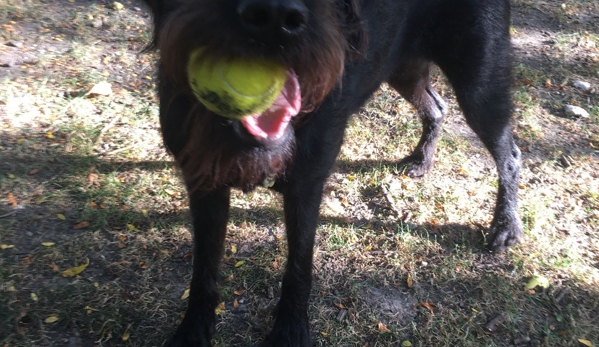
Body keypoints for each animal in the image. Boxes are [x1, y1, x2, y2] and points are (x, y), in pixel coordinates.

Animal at [143, 0, 524, 346]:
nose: (274, 18)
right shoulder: (204, 186)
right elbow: (204, 266)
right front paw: (193, 331)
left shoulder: (306, 189)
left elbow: (298, 268)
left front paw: (290, 333)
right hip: (406, 70)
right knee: (437, 107)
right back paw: (422, 159)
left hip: (478, 83)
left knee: (510, 154)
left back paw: (506, 225)